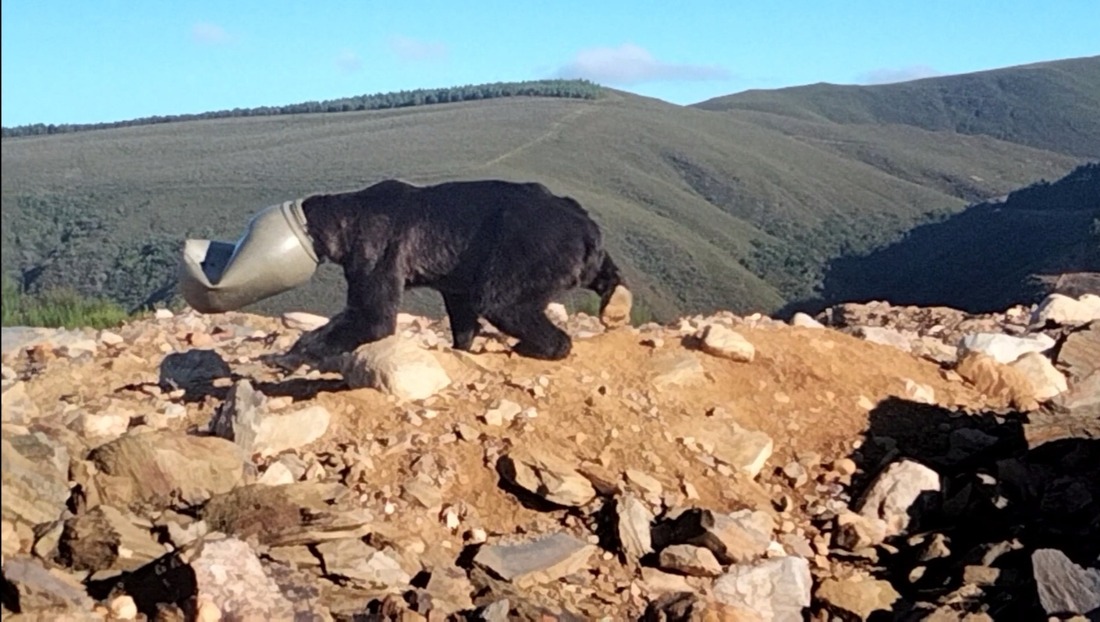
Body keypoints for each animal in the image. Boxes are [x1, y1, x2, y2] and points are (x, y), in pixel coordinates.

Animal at [280, 178, 632, 363]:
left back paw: (538, 345)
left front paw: (295, 352)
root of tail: (585, 226)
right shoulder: (455, 278)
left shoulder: (377, 249)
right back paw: (616, 304)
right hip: (572, 252)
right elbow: (461, 314)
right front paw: (459, 345)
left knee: (504, 302)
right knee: (604, 273)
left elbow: (371, 315)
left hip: (529, 247)